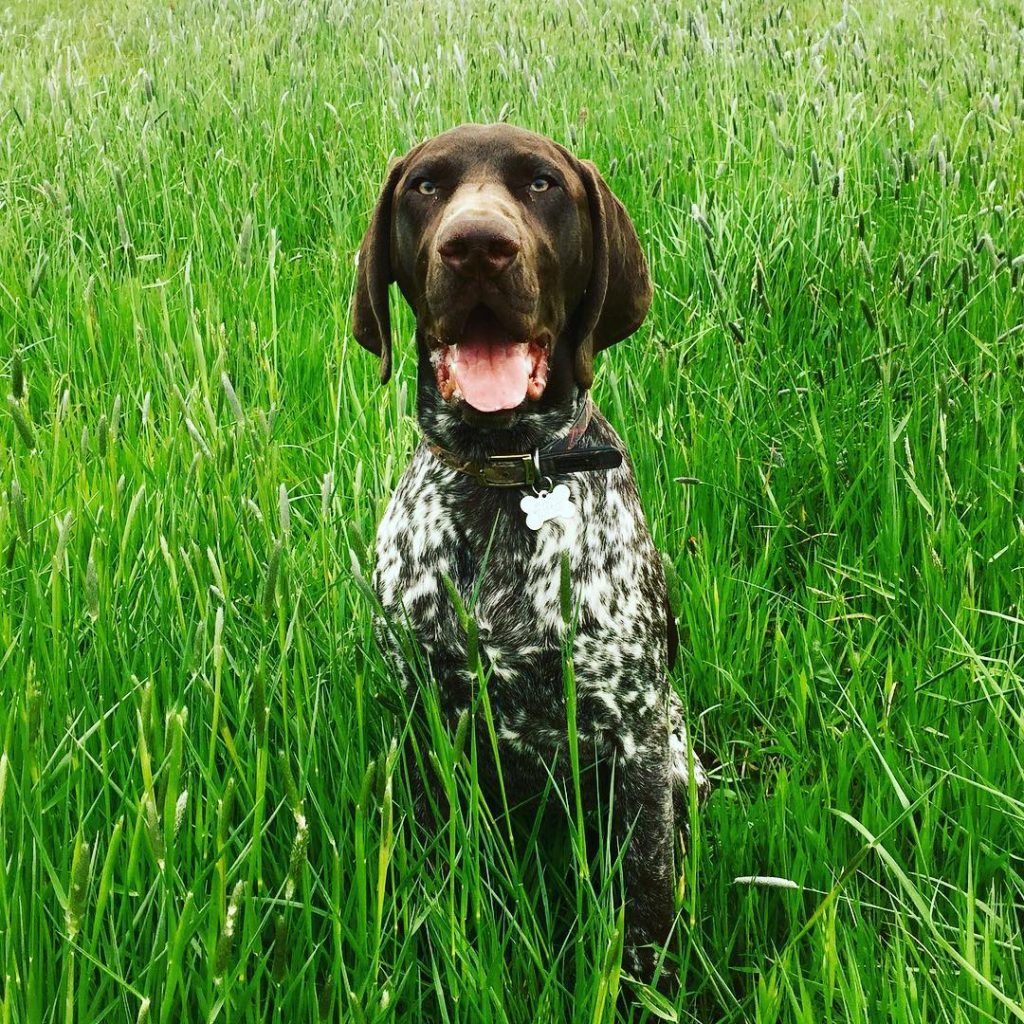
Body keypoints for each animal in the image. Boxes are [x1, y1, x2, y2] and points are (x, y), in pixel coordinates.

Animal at [353, 123, 707, 985]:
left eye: (543, 183)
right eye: (426, 186)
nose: (478, 246)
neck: (506, 471)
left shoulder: (637, 733)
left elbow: (648, 887)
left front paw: (645, 986)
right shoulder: (428, 712)